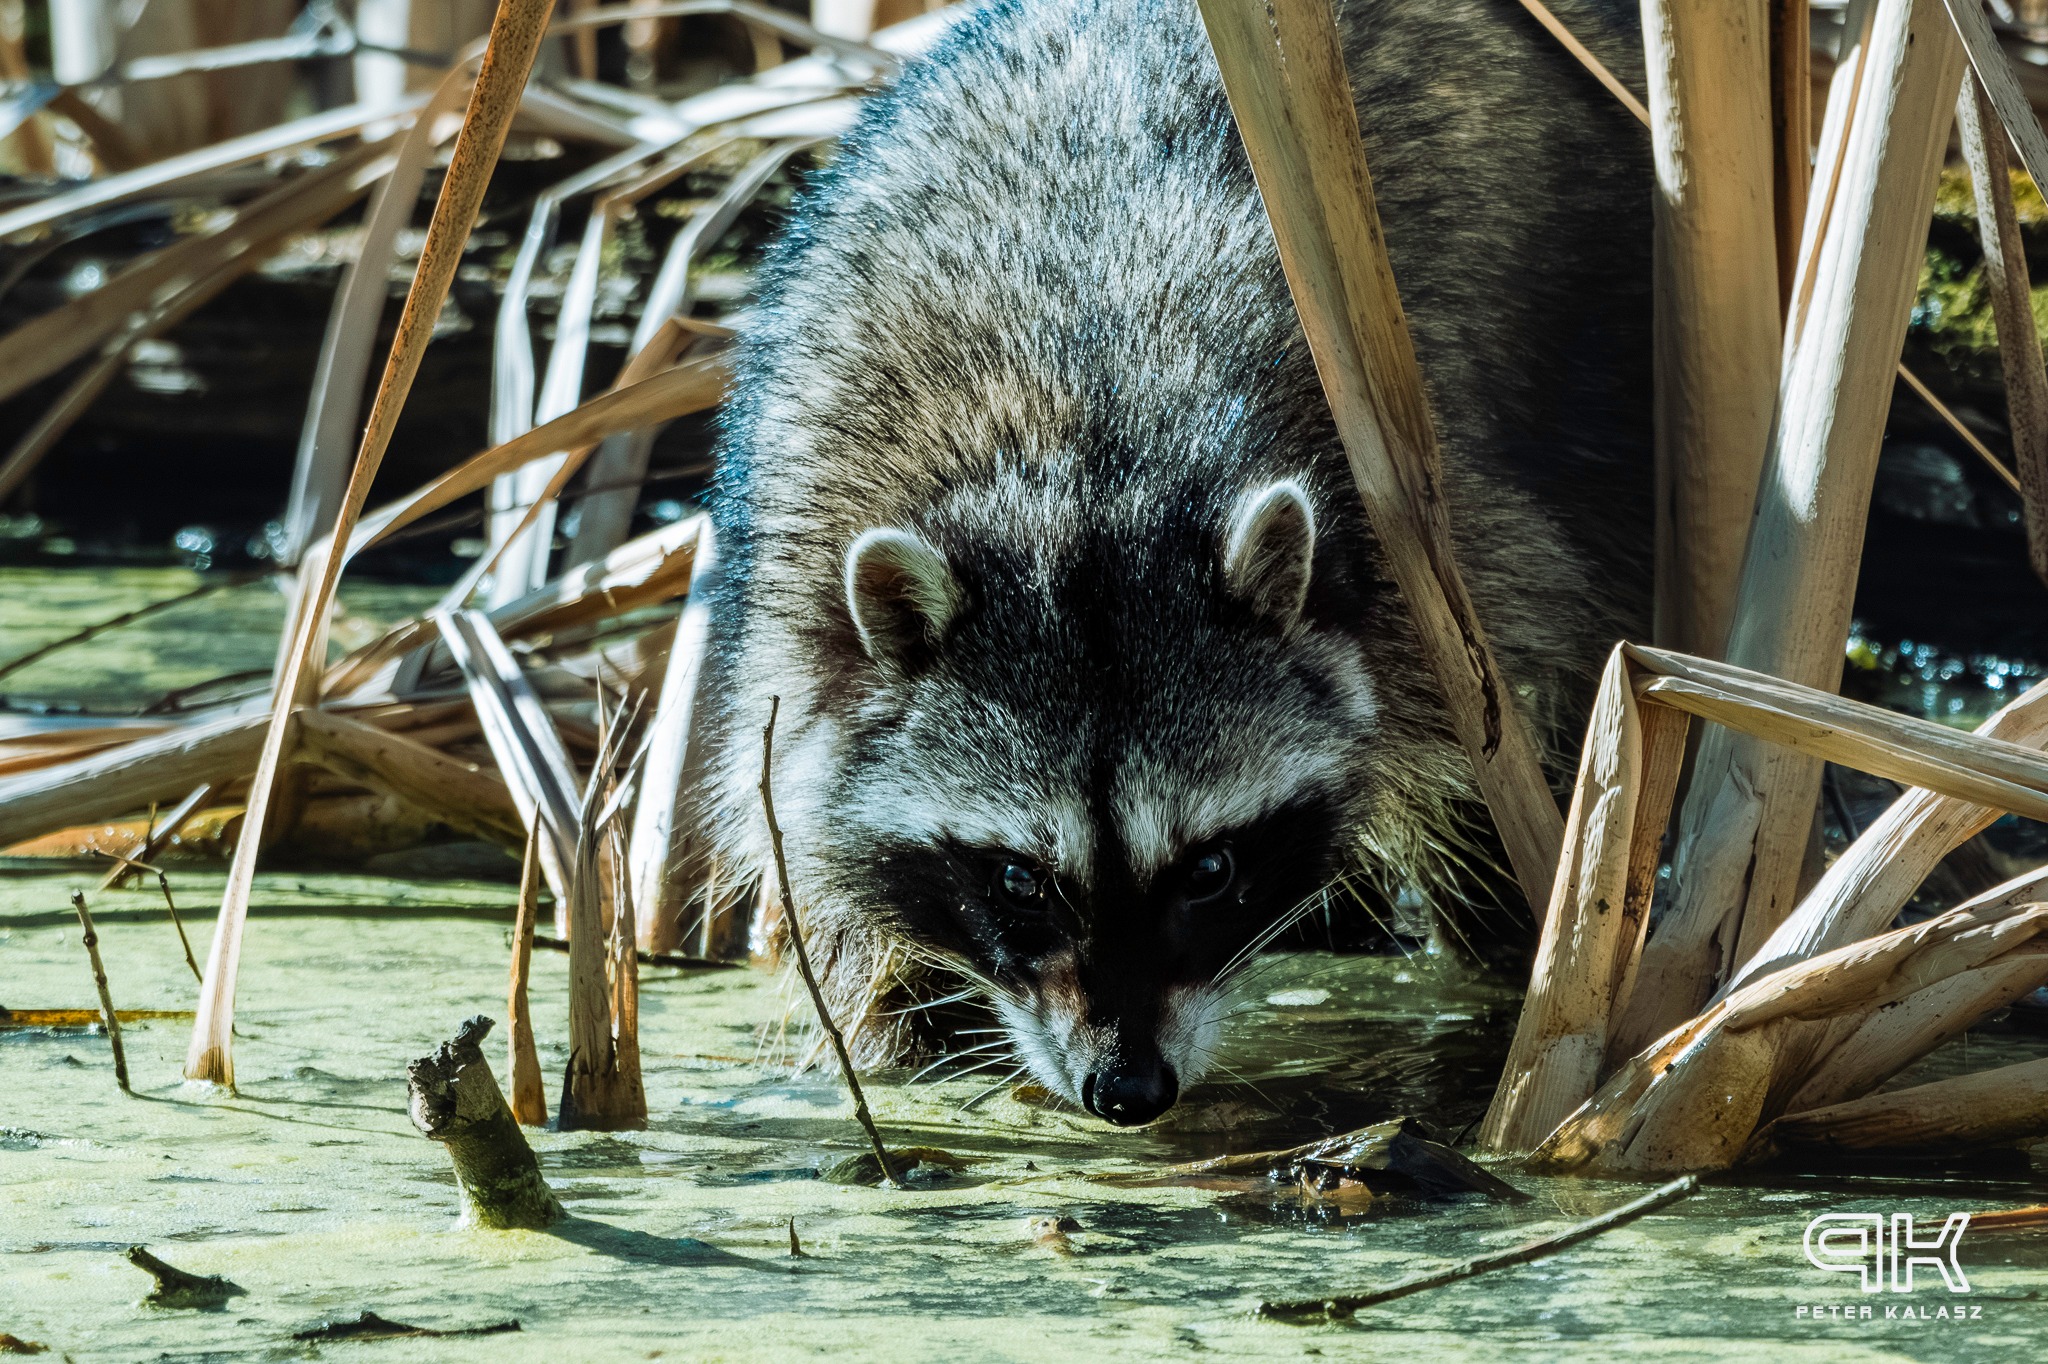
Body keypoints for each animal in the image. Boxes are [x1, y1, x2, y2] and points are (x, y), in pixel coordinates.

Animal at [696, 0, 1650, 1125]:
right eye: (1019, 879)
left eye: (1207, 868)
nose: (1128, 1089)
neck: (1082, 474)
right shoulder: (794, 619)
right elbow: (839, 899)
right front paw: (905, 1039)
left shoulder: (1434, 574)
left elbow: (1488, 769)